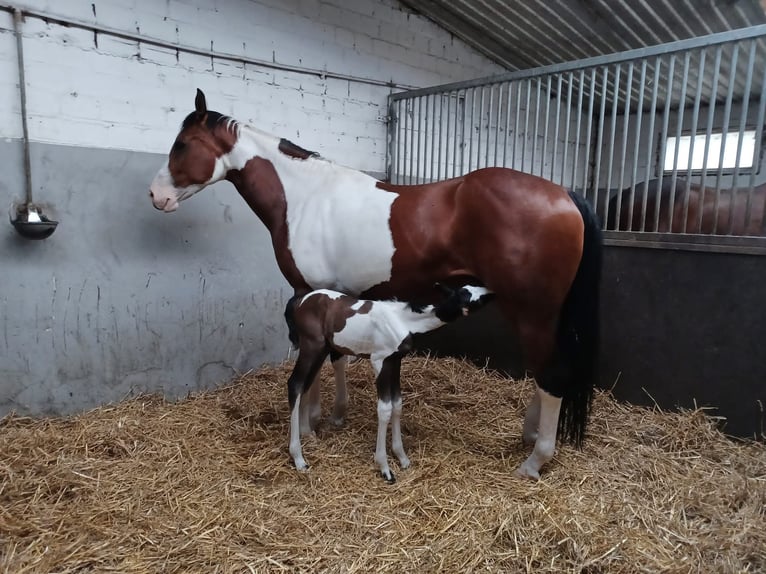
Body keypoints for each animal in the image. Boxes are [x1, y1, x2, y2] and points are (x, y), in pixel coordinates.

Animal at [284, 286, 496, 484]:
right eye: (468, 296)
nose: (491, 292)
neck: (403, 320)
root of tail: (300, 300)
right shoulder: (379, 361)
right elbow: (385, 409)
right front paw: (385, 467)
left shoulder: (395, 362)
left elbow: (397, 404)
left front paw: (402, 458)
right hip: (312, 346)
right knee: (295, 384)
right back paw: (299, 458)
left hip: (322, 349)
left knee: (305, 385)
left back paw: (307, 434)